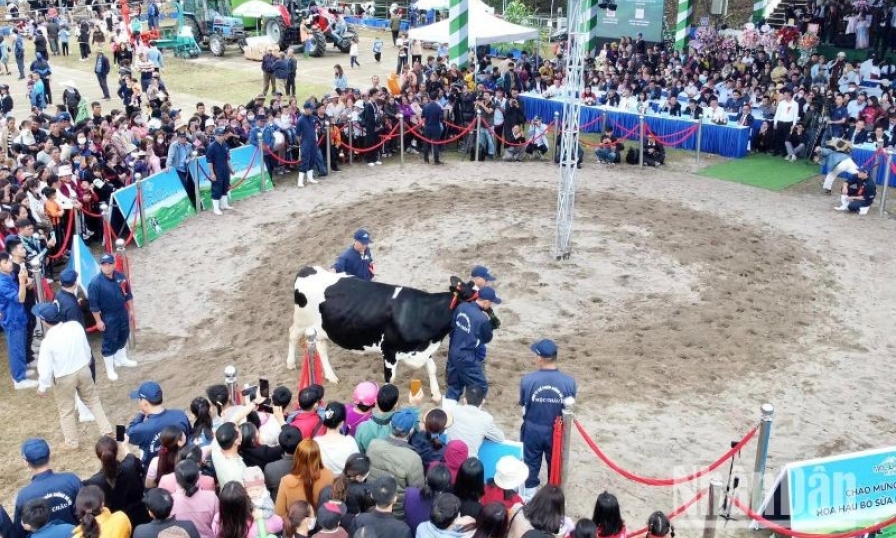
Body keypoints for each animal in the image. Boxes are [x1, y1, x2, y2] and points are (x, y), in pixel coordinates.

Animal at [288, 266, 456, 400]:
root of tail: (308, 269)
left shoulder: (423, 348)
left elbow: (432, 368)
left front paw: (436, 395)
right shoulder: (389, 351)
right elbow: (390, 379)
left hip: (321, 330)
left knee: (321, 348)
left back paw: (332, 376)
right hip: (302, 323)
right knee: (292, 334)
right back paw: (290, 363)